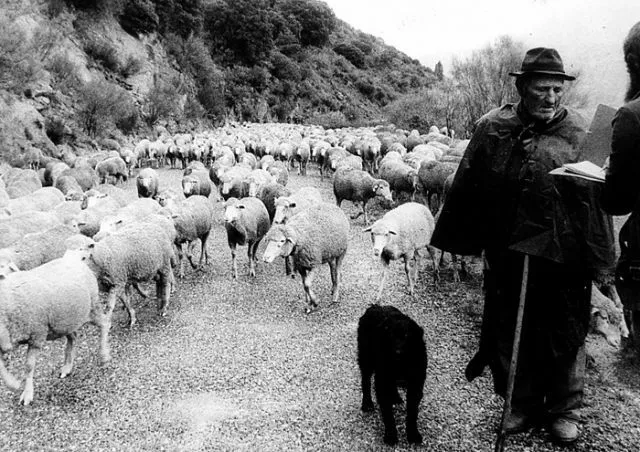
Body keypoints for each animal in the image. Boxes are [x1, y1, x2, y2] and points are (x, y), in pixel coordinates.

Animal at [0, 254, 110, 406]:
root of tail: (76, 260)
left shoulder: (37, 335)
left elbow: (29, 366)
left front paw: (27, 393)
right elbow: (1, 369)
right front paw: (13, 384)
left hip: (92, 307)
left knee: (105, 323)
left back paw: (104, 355)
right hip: (66, 321)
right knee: (73, 337)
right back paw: (67, 367)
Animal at [358, 304, 428, 444]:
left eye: (407, 335)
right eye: (390, 335)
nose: (397, 352)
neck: (400, 364)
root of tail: (374, 306)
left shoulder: (416, 383)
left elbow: (412, 411)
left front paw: (413, 434)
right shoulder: (382, 381)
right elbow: (387, 412)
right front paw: (391, 435)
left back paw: (395, 396)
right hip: (366, 359)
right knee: (365, 381)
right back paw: (367, 403)